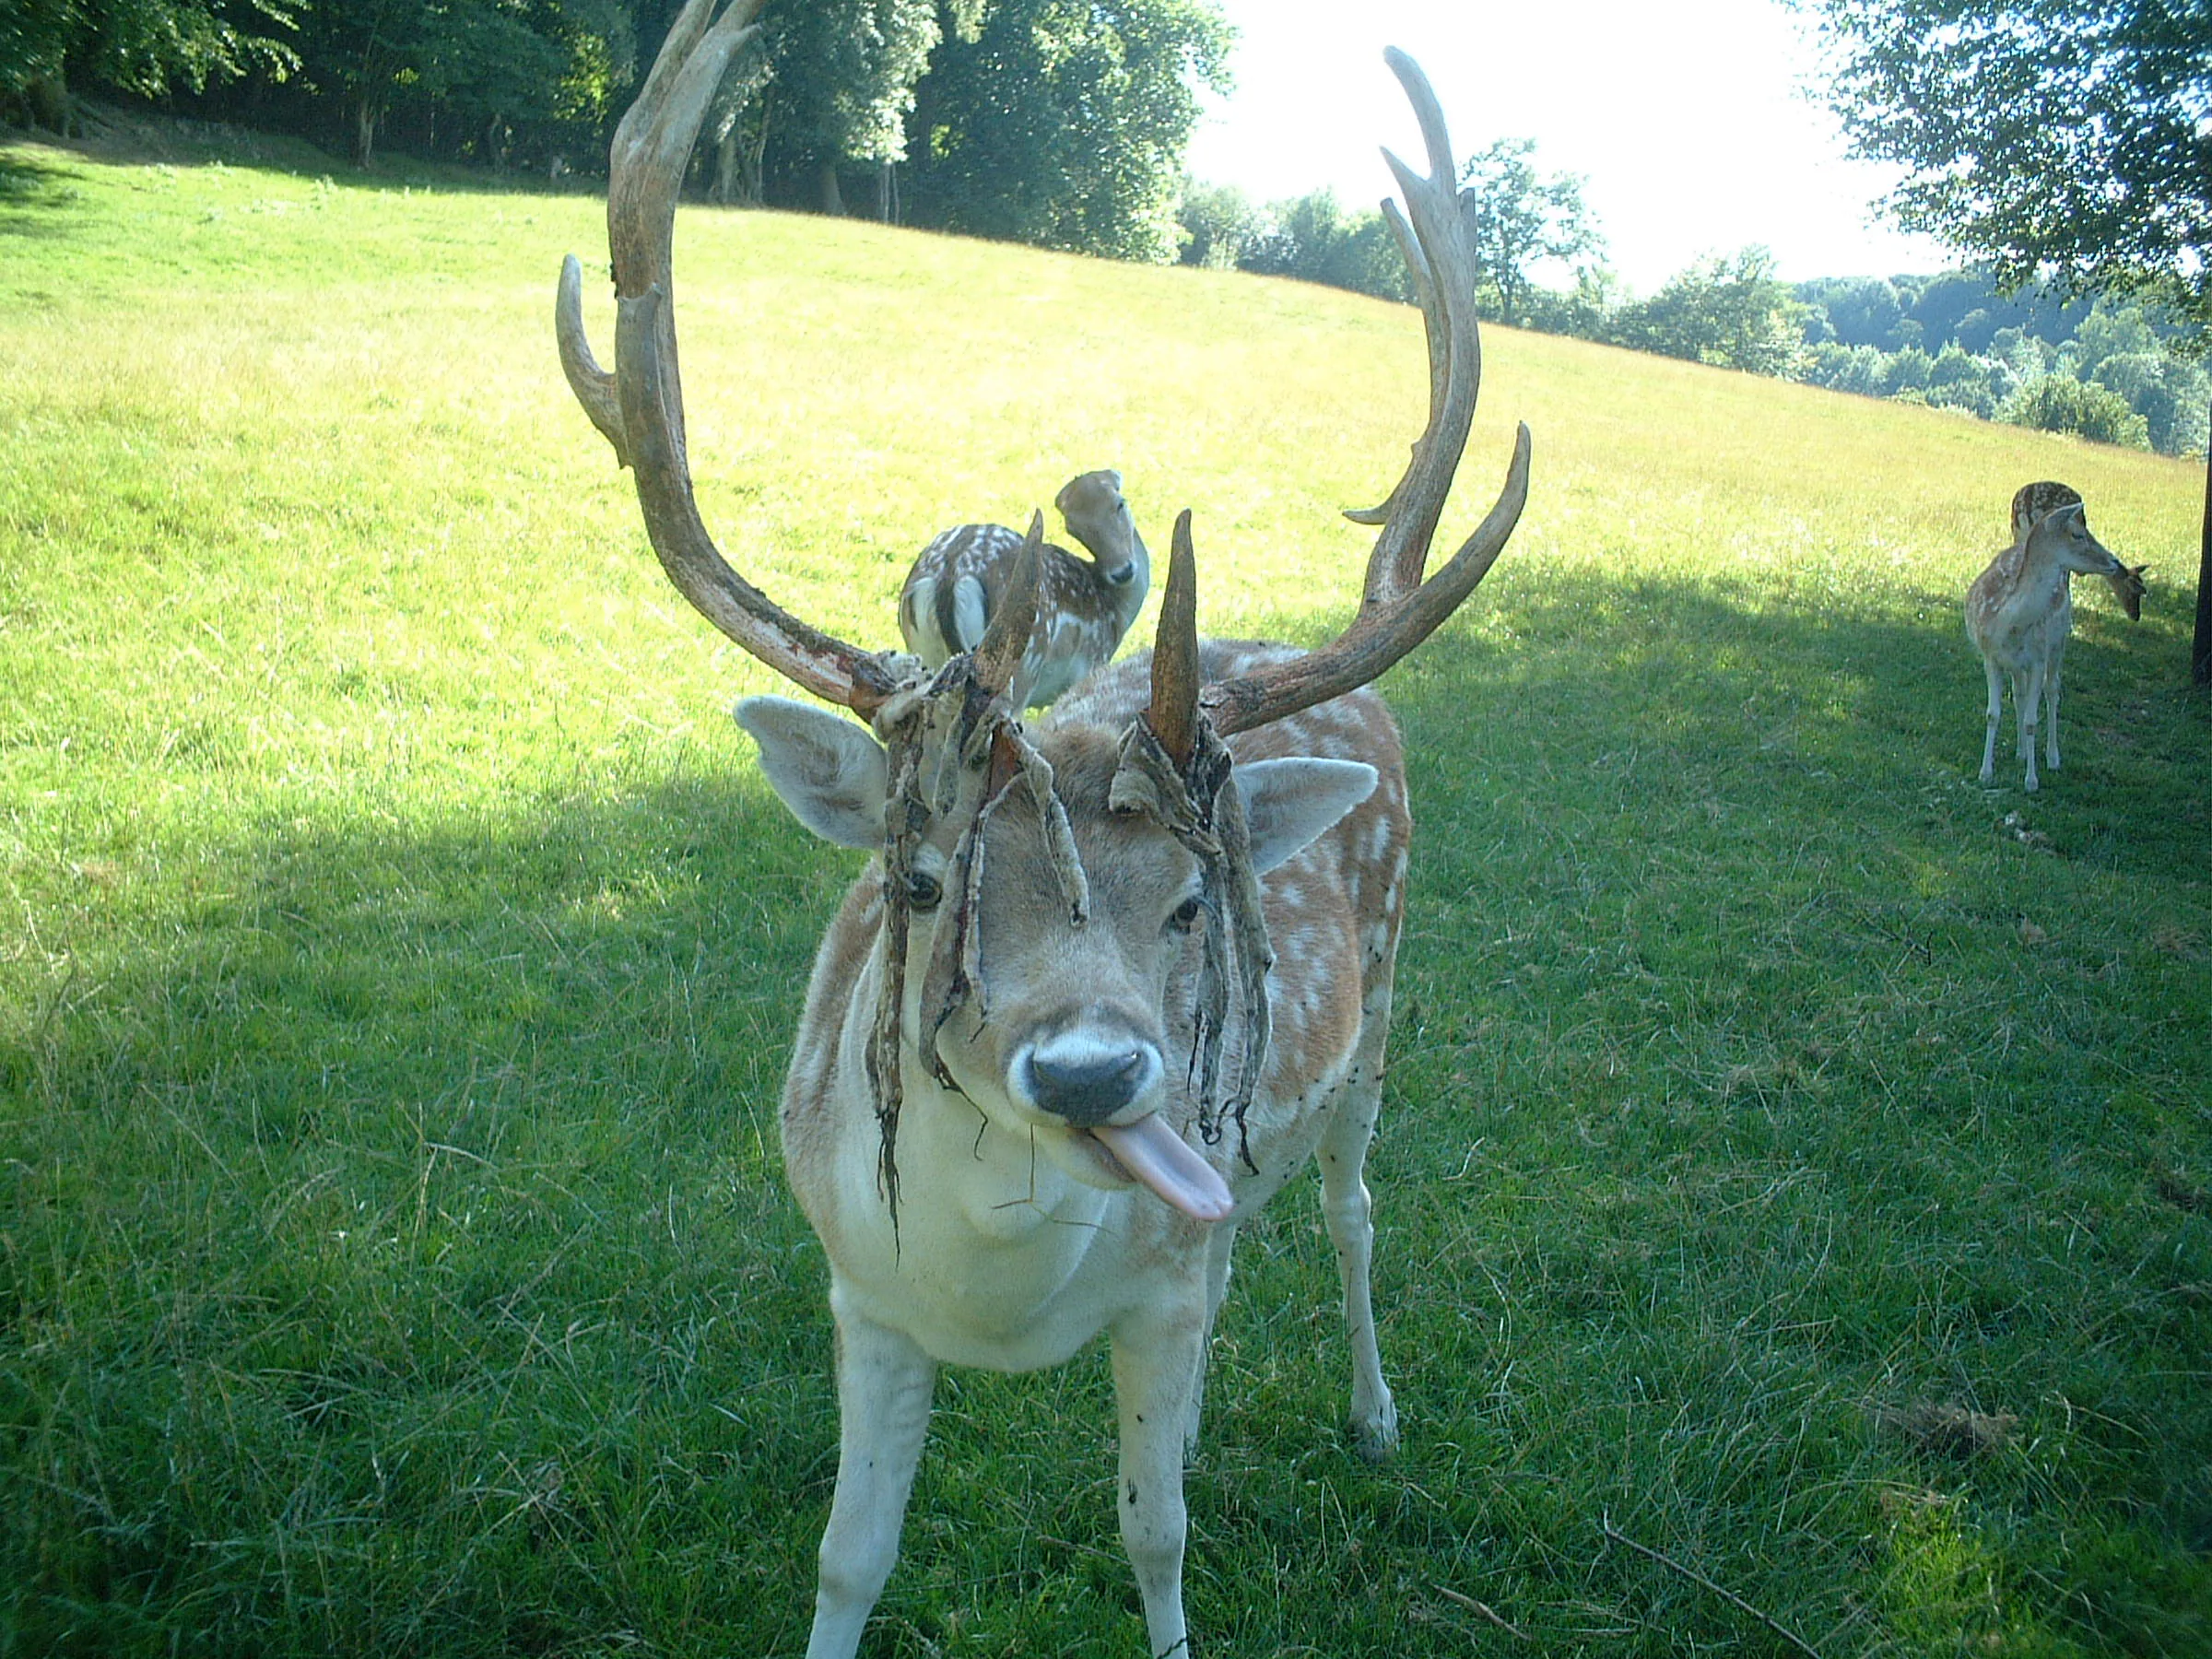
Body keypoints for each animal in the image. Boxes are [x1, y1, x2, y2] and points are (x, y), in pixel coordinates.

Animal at [899, 468, 1151, 708]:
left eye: (1120, 503)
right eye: (1073, 528)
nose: (1123, 571)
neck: (1115, 612)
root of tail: (950, 573)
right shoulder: (1090, 664)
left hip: (924, 654)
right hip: (1022, 665)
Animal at [1967, 482, 2139, 791]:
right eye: (2078, 533)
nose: (2113, 560)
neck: (2008, 624)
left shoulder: (2037, 658)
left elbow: (2032, 720)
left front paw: (2031, 781)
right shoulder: (1991, 656)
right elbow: (1992, 713)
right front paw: (1986, 772)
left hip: (2058, 644)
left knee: (2053, 691)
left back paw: (2052, 757)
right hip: (2019, 664)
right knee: (2020, 694)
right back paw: (2021, 752)